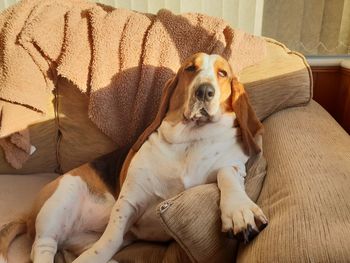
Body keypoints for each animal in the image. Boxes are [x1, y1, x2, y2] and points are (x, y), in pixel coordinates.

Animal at [0, 52, 268, 262]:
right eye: (190, 68)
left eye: (223, 73)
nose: (204, 91)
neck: (190, 140)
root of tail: (28, 216)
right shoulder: (129, 201)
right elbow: (107, 242)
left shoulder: (232, 166)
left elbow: (226, 174)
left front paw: (239, 210)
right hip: (62, 197)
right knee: (43, 247)